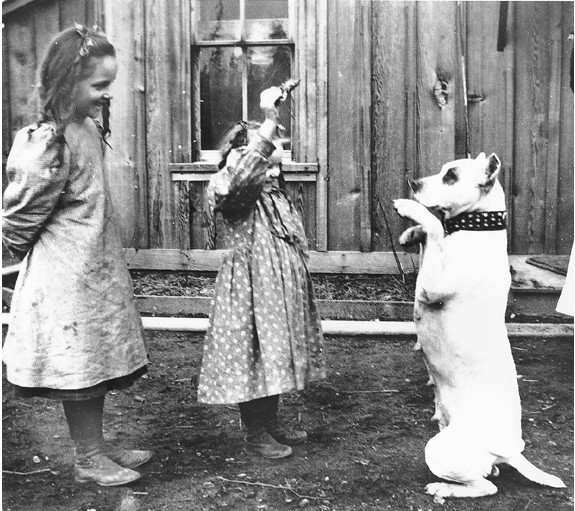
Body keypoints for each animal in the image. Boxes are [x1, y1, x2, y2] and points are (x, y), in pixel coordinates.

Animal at [394, 152, 564, 500]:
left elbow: (436, 227)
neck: (474, 230)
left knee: (486, 487)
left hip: (442, 449)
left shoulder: (432, 286)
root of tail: (510, 451)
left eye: (451, 176)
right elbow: (431, 238)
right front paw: (411, 234)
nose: (413, 183)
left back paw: (443, 488)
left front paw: (411, 210)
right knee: (490, 474)